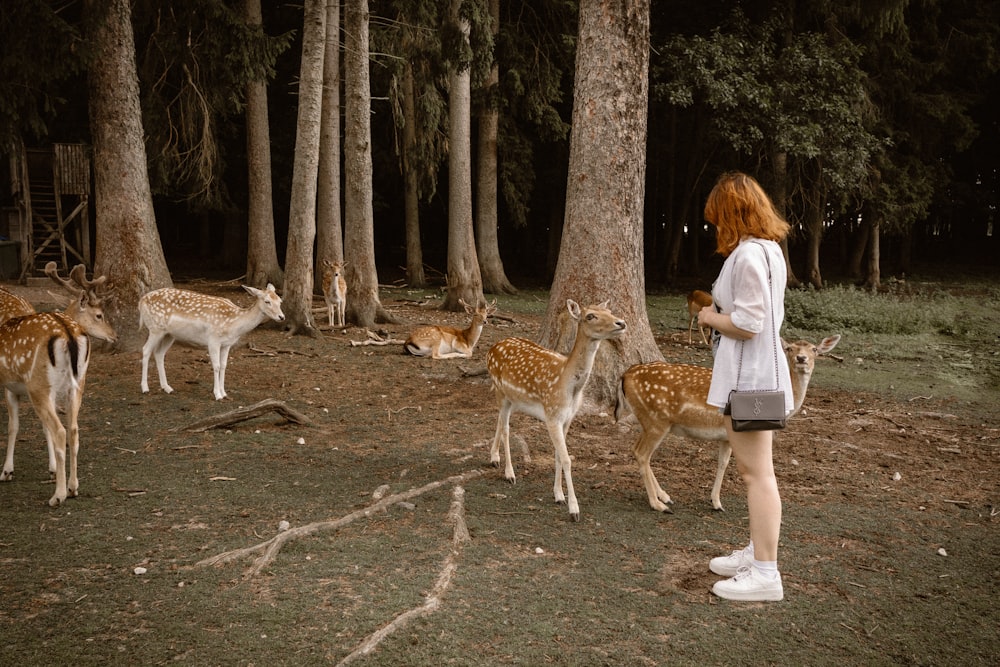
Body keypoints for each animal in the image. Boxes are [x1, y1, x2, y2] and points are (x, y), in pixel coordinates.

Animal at [0, 264, 117, 504]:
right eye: (99, 315)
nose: (115, 336)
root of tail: (68, 333)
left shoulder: (13, 385)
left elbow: (13, 426)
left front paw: (6, 471)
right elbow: (37, 427)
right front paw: (52, 468)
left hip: (39, 385)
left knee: (60, 431)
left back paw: (58, 495)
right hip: (76, 384)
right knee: (72, 430)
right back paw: (72, 487)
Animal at [139, 284, 286, 400]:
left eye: (280, 300)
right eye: (267, 301)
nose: (282, 317)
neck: (233, 325)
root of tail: (141, 301)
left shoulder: (227, 344)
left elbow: (224, 366)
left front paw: (224, 393)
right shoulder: (213, 340)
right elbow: (216, 366)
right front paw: (217, 395)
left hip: (169, 334)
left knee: (159, 353)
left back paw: (167, 387)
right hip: (155, 328)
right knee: (145, 350)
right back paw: (145, 388)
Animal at [484, 300, 624, 524]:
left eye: (609, 311)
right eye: (590, 316)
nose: (621, 323)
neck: (570, 387)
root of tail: (491, 348)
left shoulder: (568, 418)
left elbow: (559, 455)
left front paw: (558, 495)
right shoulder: (552, 416)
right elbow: (566, 458)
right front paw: (574, 509)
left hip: (513, 399)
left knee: (499, 421)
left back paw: (494, 458)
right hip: (501, 391)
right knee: (505, 428)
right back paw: (510, 473)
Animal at [616, 334, 836, 512]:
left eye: (814, 349)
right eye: (790, 348)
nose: (802, 359)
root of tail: (626, 375)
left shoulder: (726, 436)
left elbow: (722, 463)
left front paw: (715, 502)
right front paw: (720, 502)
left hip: (652, 421)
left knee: (639, 451)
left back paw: (664, 496)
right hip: (656, 419)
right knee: (642, 453)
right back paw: (657, 504)